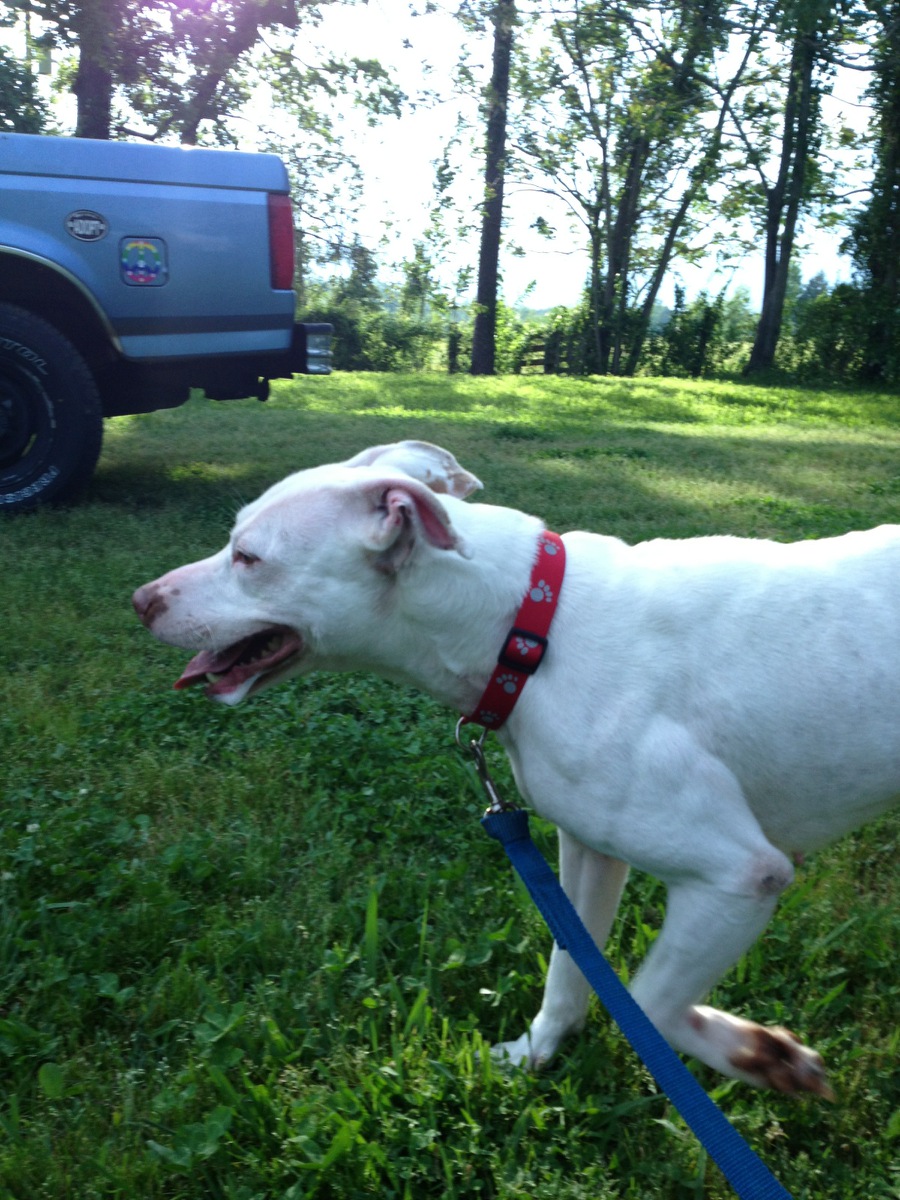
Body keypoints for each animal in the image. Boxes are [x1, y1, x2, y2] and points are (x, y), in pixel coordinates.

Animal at [128, 439, 900, 1099]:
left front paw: (762, 1055)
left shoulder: (739, 876)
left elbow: (647, 1001)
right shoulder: (588, 850)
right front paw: (536, 1052)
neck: (531, 630)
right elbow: (570, 968)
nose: (142, 601)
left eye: (248, 557)